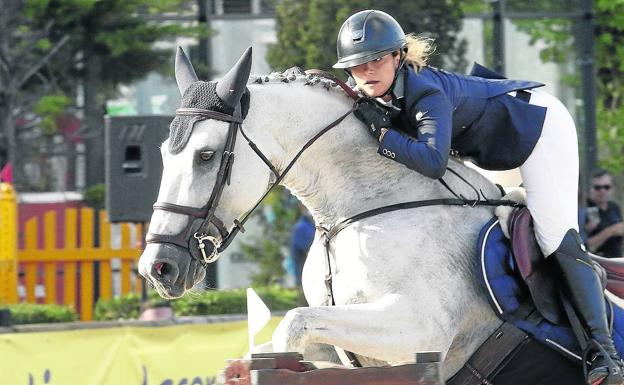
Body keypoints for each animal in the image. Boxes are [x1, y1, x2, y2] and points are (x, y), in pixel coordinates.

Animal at [138, 46, 580, 380]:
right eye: (162, 154)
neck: (360, 210)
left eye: (206, 155)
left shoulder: (421, 330)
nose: (157, 267)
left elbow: (291, 326)